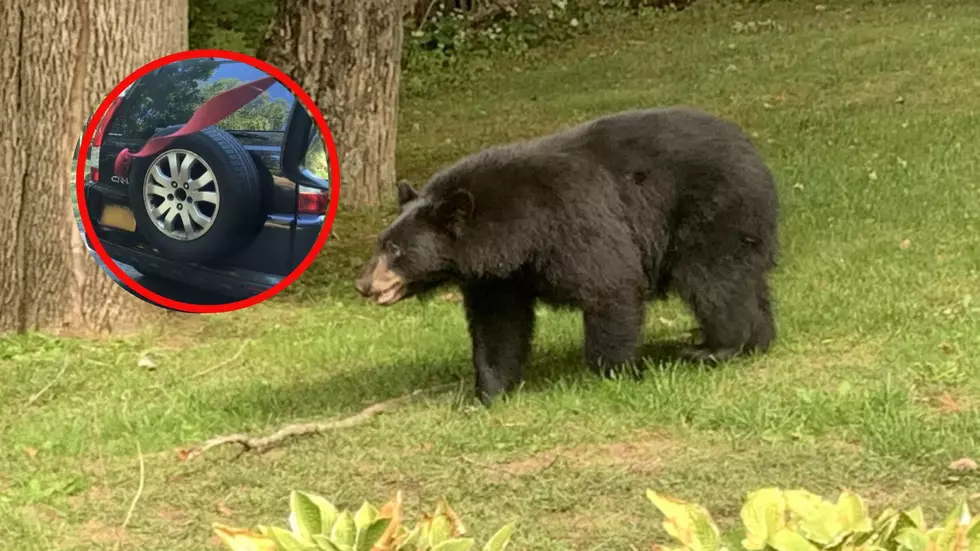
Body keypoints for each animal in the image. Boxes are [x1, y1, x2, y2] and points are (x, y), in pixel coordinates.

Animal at [356, 106, 776, 406]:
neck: (516, 233)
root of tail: (754, 152)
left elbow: (609, 283)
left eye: (395, 250)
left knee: (713, 280)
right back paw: (758, 340)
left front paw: (613, 373)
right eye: (381, 243)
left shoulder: (569, 222)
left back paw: (714, 348)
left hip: (712, 213)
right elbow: (497, 326)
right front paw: (487, 392)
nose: (362, 284)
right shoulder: (499, 276)